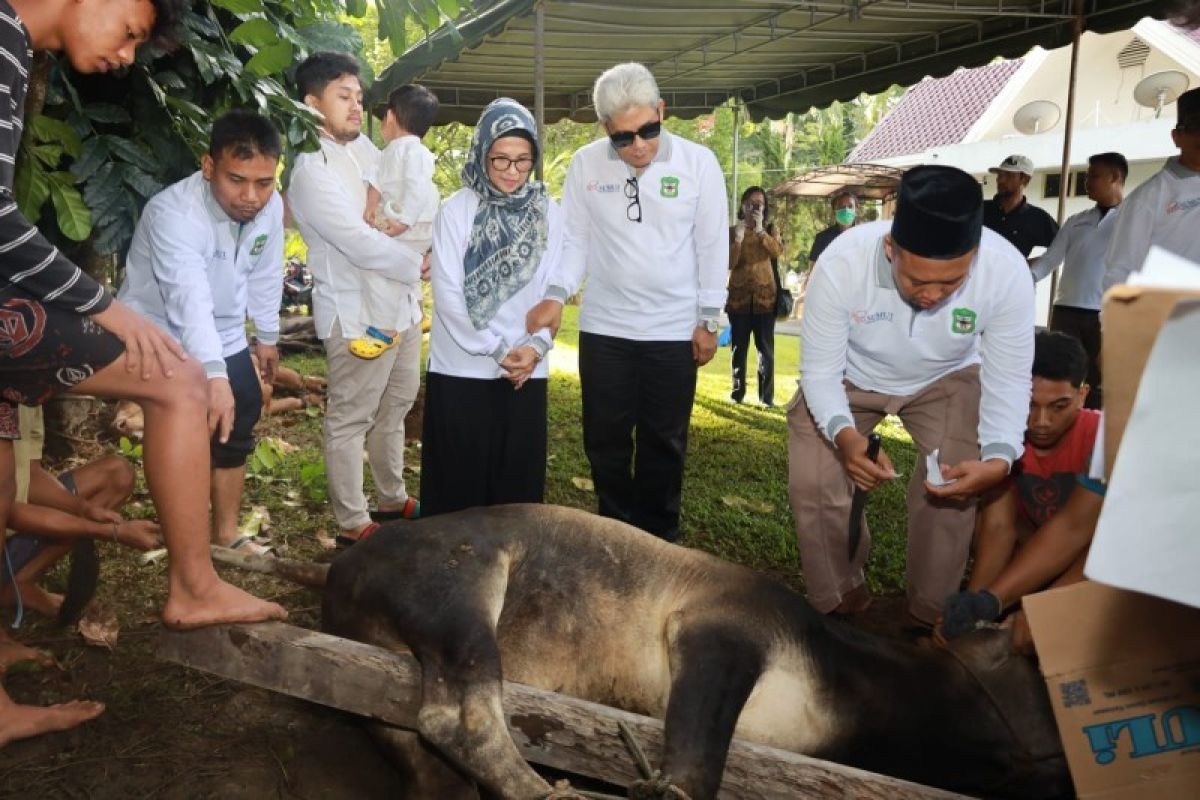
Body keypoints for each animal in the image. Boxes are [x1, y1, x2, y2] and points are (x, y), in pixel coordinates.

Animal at [321, 506, 1070, 800]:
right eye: (1031, 670)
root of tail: (339, 574)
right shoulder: (720, 630)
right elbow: (692, 774)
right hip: (467, 586)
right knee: (462, 717)